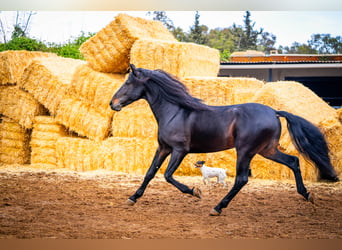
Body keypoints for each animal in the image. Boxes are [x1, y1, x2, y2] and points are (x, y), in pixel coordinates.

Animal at [110, 64, 340, 215]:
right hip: (267, 150)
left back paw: (218, 207)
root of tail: (274, 112)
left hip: (246, 151)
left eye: (128, 82)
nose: (113, 104)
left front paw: (195, 192)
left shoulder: (179, 150)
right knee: (293, 161)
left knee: (241, 179)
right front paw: (132, 198)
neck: (175, 111)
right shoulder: (163, 148)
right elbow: (150, 173)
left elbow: (167, 175)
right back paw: (307, 194)